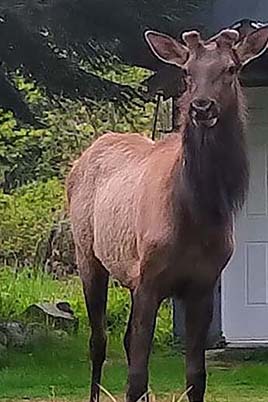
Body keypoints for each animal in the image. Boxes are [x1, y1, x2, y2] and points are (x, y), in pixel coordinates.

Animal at [66, 25, 268, 402]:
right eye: (187, 73)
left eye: (231, 69)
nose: (202, 107)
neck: (196, 216)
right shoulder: (149, 280)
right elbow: (135, 377)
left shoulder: (203, 284)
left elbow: (195, 377)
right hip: (88, 255)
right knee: (99, 341)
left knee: (123, 339)